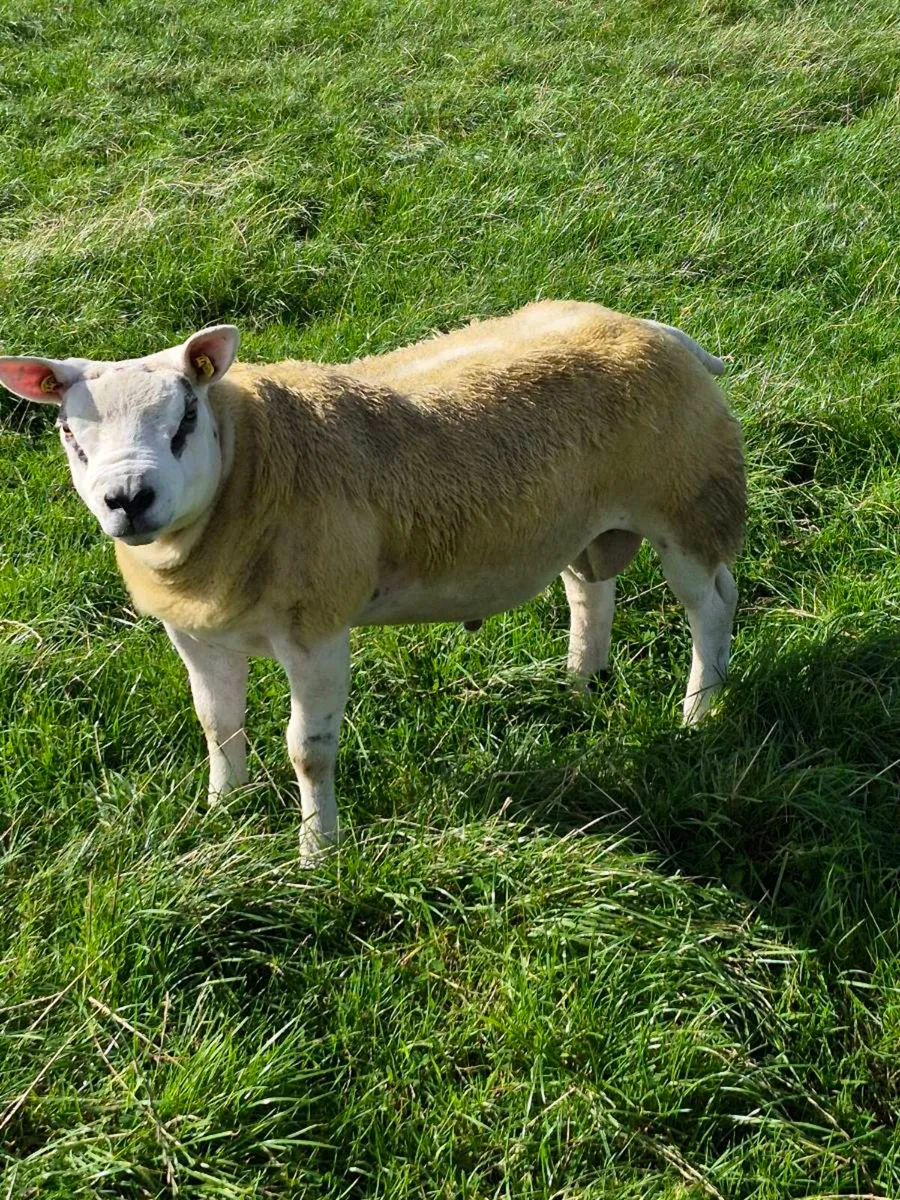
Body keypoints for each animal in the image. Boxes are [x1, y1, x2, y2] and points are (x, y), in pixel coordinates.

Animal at [0, 300, 745, 859]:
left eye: (184, 419)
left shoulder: (317, 629)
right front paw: (222, 813)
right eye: (69, 432)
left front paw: (316, 854)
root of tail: (655, 329)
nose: (128, 498)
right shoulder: (195, 632)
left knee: (711, 605)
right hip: (583, 517)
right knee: (588, 586)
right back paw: (581, 680)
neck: (249, 458)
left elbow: (308, 752)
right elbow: (217, 723)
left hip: (689, 501)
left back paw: (698, 713)